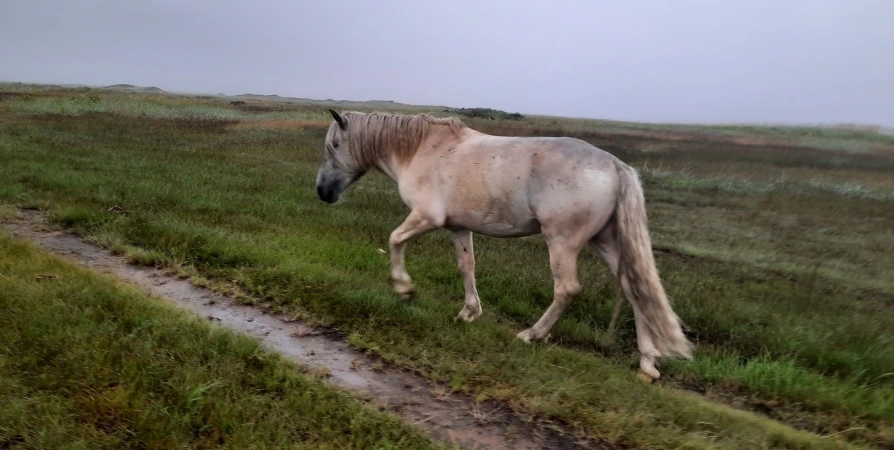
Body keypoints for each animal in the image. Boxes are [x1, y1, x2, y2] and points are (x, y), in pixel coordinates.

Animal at [318, 109, 696, 380]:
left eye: (333, 146)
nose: (322, 192)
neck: (422, 149)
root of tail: (616, 166)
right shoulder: (458, 228)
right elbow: (466, 267)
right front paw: (469, 313)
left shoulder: (426, 217)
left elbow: (395, 241)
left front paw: (404, 289)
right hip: (604, 241)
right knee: (635, 291)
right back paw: (647, 365)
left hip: (563, 241)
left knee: (567, 289)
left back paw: (532, 335)